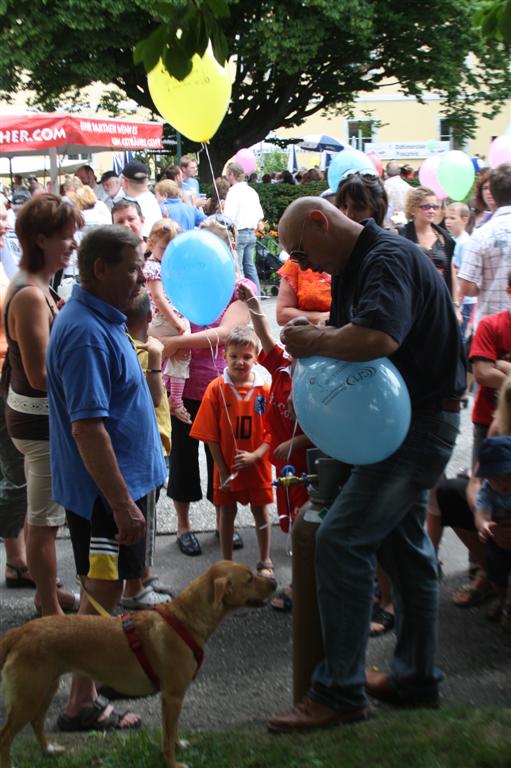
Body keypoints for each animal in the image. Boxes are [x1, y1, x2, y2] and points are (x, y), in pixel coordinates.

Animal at [0, 560, 276, 768]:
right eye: (249, 579)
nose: (273, 583)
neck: (184, 619)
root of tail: (19, 632)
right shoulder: (173, 696)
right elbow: (168, 737)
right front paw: (173, 763)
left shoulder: (170, 699)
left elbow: (171, 732)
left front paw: (178, 746)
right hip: (29, 695)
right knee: (5, 736)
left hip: (45, 688)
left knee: (37, 722)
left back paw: (49, 750)